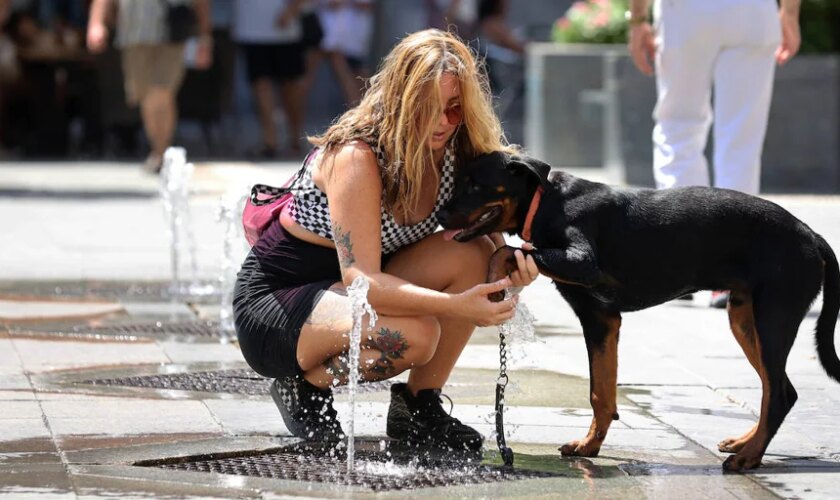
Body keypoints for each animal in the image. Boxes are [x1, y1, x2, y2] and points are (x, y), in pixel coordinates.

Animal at [436, 150, 840, 470]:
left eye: (476, 185)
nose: (439, 215)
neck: (545, 202)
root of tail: (811, 234)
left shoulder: (584, 265)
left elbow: (509, 250)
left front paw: (494, 276)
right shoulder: (601, 318)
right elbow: (601, 392)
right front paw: (590, 446)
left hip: (773, 316)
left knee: (780, 394)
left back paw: (748, 457)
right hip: (745, 319)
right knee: (778, 388)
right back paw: (745, 443)